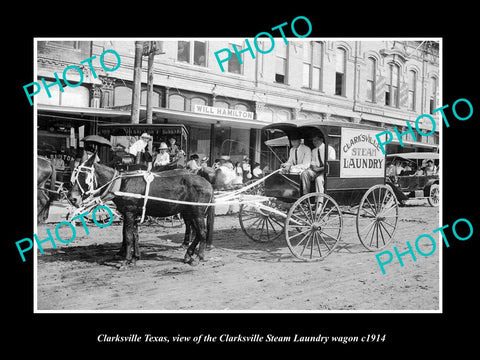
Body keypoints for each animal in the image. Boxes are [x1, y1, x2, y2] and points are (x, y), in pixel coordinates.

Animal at [67, 153, 214, 266]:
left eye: (82, 175)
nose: (72, 198)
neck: (121, 184)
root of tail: (208, 183)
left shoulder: (129, 213)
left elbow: (128, 236)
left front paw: (126, 260)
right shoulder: (132, 214)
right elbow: (134, 235)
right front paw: (134, 258)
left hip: (197, 212)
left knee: (202, 232)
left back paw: (199, 257)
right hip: (189, 212)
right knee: (196, 232)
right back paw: (189, 254)